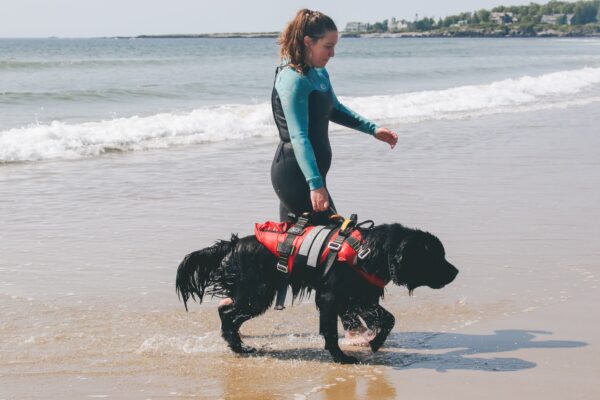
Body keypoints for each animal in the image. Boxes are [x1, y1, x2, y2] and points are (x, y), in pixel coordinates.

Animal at [176, 223, 458, 364]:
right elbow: (331, 332)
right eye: (435, 257)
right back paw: (239, 346)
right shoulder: (331, 298)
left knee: (226, 310)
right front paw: (342, 358)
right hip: (257, 295)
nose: (456, 272)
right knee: (227, 313)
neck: (371, 251)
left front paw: (375, 343)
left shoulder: (360, 296)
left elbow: (388, 319)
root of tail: (233, 244)